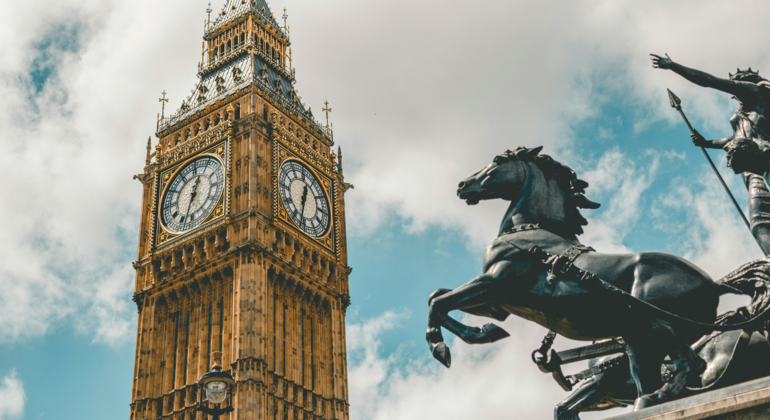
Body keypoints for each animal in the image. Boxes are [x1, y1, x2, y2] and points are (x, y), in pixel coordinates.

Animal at [426, 147, 720, 410]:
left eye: (498, 159)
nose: (462, 185)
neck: (528, 235)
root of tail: (712, 285)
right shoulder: (497, 304)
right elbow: (437, 295)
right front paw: (483, 330)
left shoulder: (495, 283)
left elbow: (438, 303)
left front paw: (453, 344)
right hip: (639, 340)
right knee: (655, 373)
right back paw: (648, 400)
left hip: (652, 324)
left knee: (692, 363)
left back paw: (657, 397)